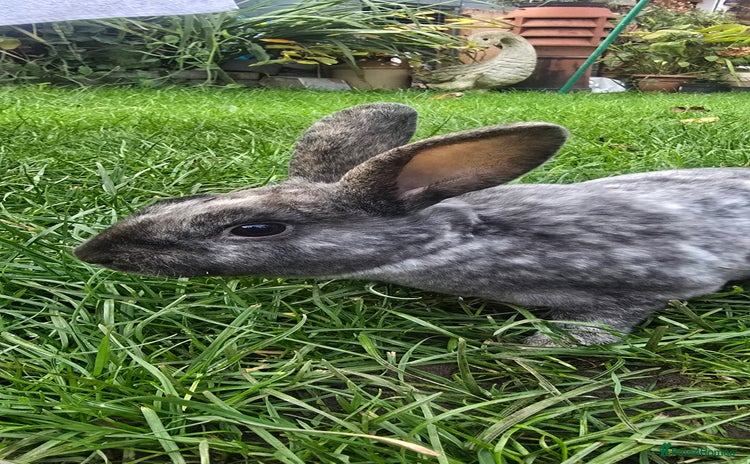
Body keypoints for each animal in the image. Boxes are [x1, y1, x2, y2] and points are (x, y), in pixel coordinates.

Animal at [74, 102, 750, 346]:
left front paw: (536, 346)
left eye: (256, 230)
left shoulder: (652, 278)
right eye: (191, 196)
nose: (92, 251)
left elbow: (609, 322)